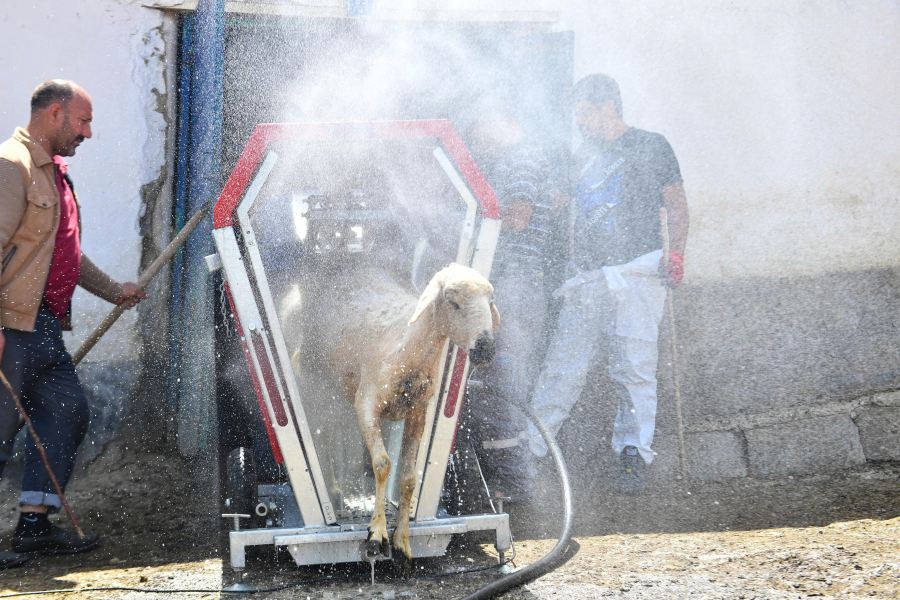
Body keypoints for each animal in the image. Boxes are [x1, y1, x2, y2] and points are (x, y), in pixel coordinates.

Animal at [302, 264, 500, 560]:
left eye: (490, 301)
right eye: (452, 301)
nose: (486, 348)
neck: (407, 350)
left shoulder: (417, 412)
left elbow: (408, 477)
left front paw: (402, 540)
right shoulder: (366, 402)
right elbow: (383, 464)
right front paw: (377, 533)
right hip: (315, 376)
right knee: (323, 431)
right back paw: (334, 491)